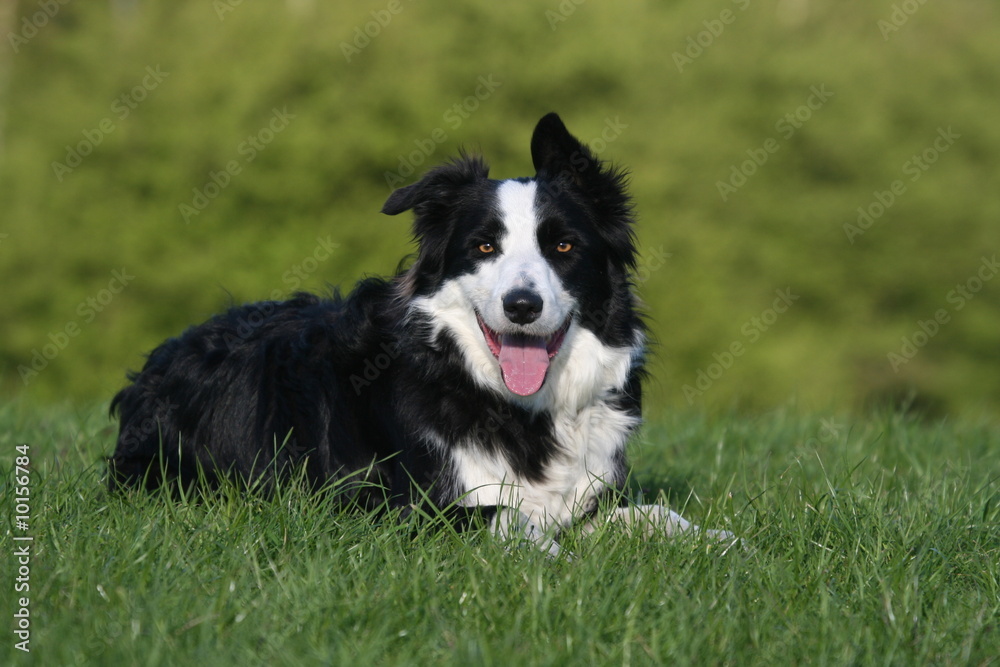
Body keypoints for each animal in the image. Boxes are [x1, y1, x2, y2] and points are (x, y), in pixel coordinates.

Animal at [109, 113, 732, 552]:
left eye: (563, 245)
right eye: (484, 246)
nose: (522, 306)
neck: (512, 404)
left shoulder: (589, 498)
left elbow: (654, 513)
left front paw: (722, 543)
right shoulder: (384, 508)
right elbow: (508, 516)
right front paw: (555, 557)